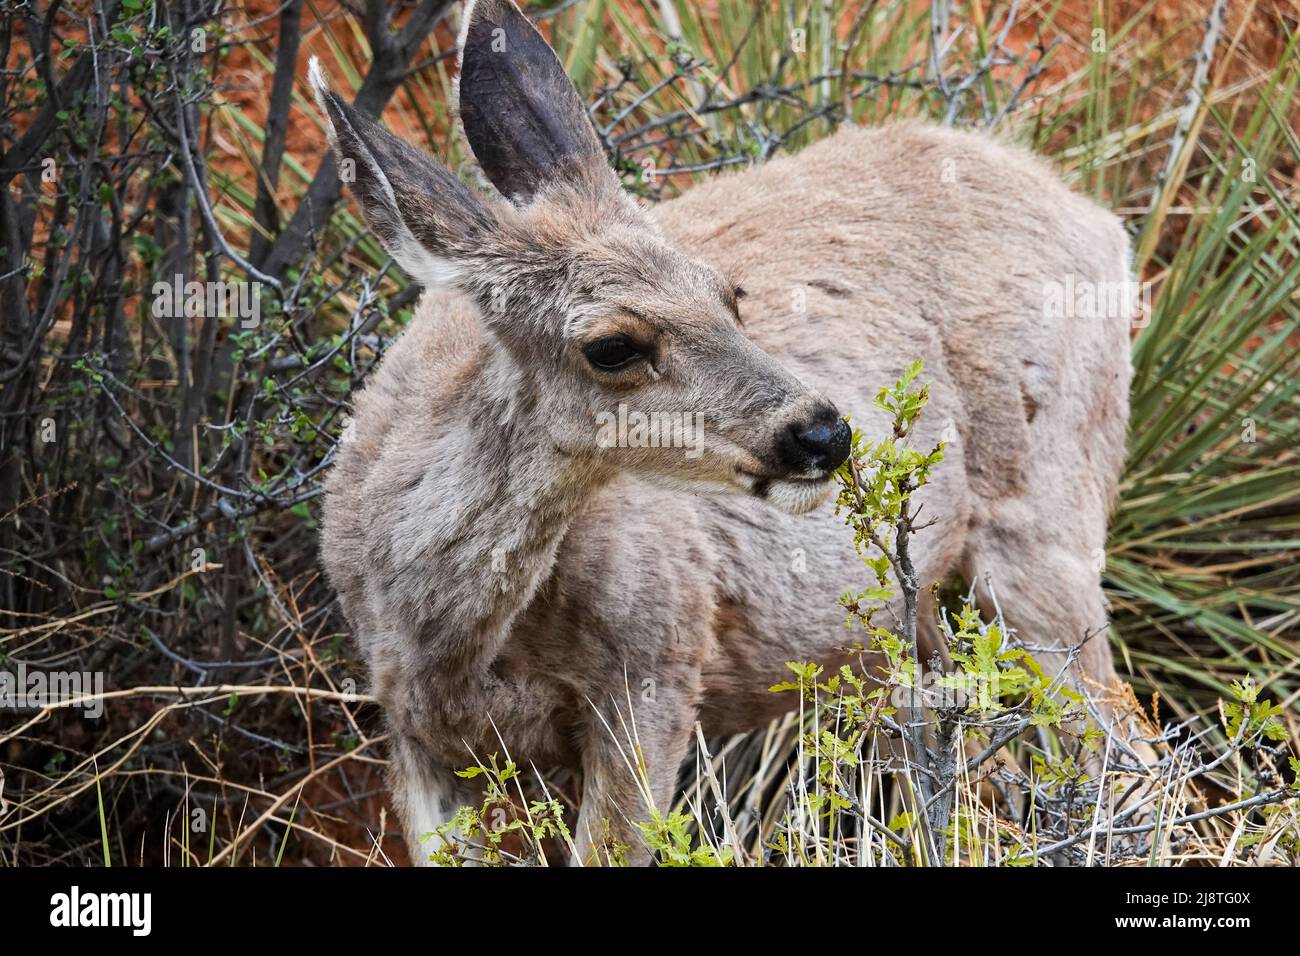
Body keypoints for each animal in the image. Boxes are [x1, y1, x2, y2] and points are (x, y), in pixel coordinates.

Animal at [314, 0, 1140, 865]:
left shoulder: (656, 669)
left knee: (1123, 750)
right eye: (612, 345)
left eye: (727, 293)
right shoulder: (414, 732)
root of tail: (1099, 220)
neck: (446, 633)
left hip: (1043, 514)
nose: (824, 432)